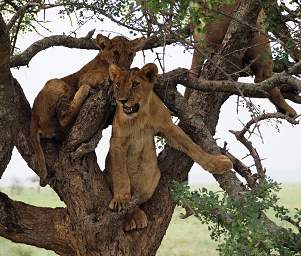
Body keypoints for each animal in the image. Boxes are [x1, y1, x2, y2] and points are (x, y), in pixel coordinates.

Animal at [30, 34, 144, 186]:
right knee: (64, 118)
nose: (125, 68)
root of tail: (33, 118)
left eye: (130, 54)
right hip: (56, 82)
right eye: (116, 53)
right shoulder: (85, 77)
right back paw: (85, 91)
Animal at [105, 63, 232, 231]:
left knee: (137, 199)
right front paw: (120, 199)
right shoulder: (117, 141)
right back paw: (133, 218)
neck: (140, 115)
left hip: (152, 179)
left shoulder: (168, 127)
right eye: (117, 84)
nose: (121, 100)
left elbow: (191, 145)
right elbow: (120, 173)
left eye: (135, 84)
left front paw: (216, 164)